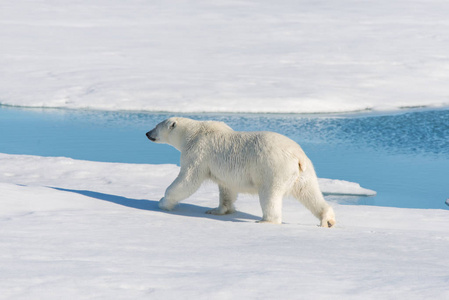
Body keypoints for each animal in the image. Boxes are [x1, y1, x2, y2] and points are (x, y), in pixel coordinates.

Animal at [145, 117, 334, 227]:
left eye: (156, 126)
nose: (147, 133)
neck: (192, 132)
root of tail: (297, 156)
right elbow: (227, 189)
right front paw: (216, 210)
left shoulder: (198, 152)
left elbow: (188, 179)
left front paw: (163, 202)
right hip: (304, 172)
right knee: (309, 193)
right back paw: (328, 220)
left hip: (273, 169)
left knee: (270, 195)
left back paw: (265, 220)